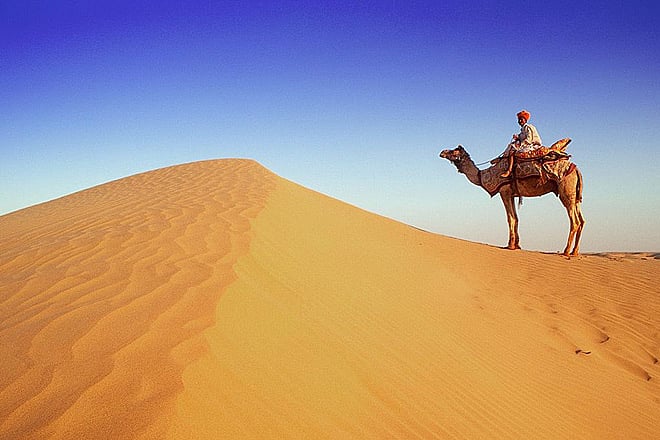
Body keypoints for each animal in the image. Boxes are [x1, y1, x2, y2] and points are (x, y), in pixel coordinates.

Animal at [439, 145, 585, 256]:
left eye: (453, 151)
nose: (442, 152)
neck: (482, 175)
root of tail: (577, 170)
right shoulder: (513, 194)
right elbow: (516, 218)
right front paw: (517, 245)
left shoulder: (504, 191)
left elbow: (510, 218)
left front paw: (510, 245)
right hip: (575, 196)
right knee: (582, 220)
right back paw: (575, 252)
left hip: (566, 191)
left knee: (575, 221)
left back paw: (566, 251)